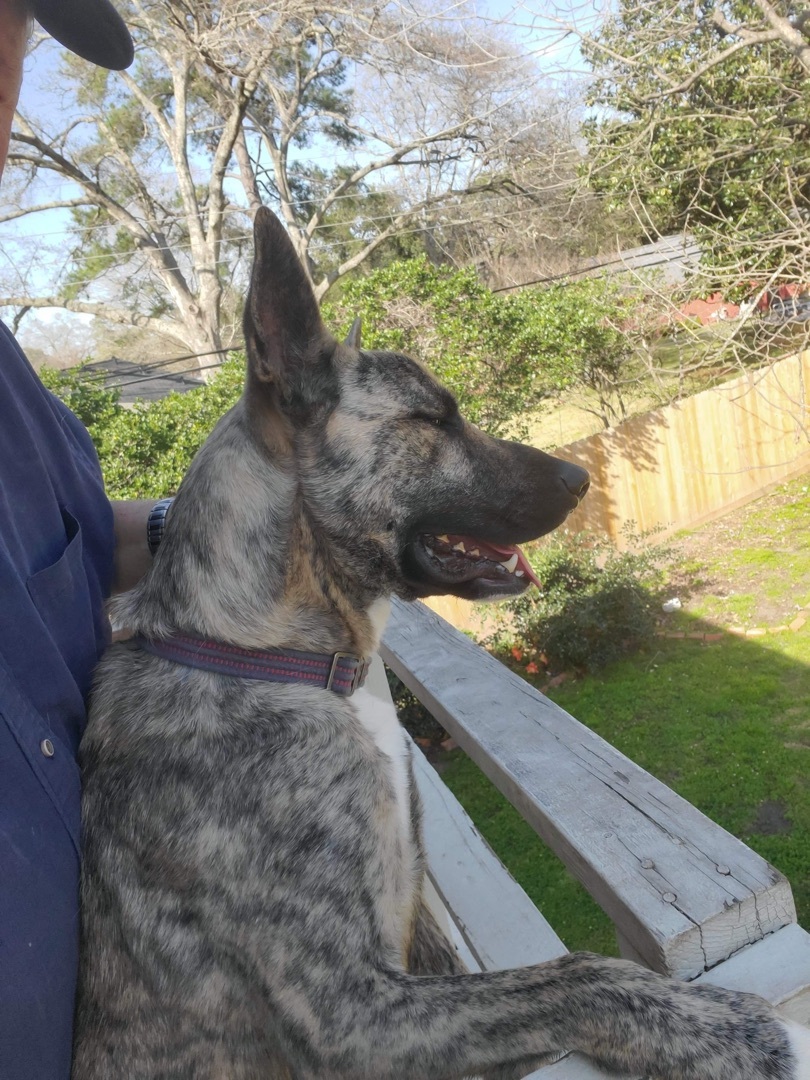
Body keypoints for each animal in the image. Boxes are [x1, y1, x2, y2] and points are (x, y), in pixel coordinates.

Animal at [72, 210, 807, 1080]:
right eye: (432, 421)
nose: (578, 479)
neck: (270, 654)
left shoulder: (411, 921)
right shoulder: (349, 1011)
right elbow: (574, 975)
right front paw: (715, 1027)